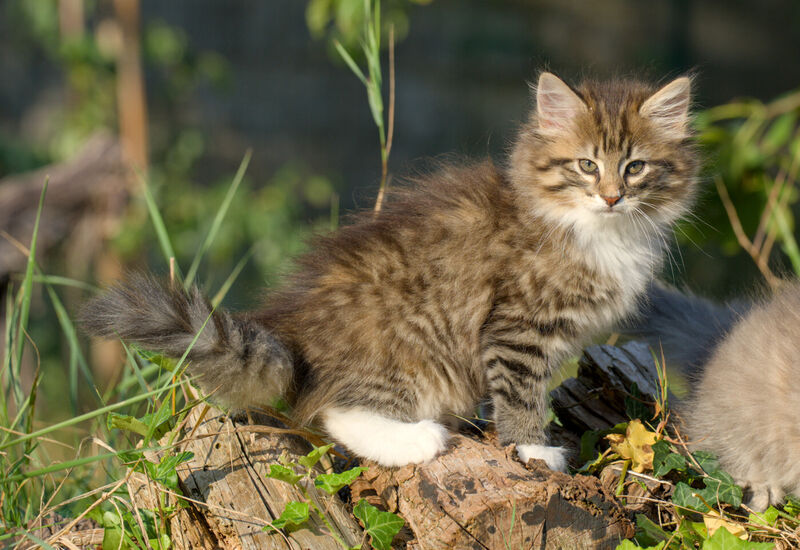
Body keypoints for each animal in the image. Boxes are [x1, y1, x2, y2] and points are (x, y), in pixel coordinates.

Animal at [79, 72, 700, 470]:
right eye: (587, 165)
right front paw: (534, 449)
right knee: (335, 410)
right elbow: (522, 395)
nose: (613, 197)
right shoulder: (517, 327)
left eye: (635, 168)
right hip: (405, 348)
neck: (595, 231)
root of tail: (295, 335)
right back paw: (420, 440)